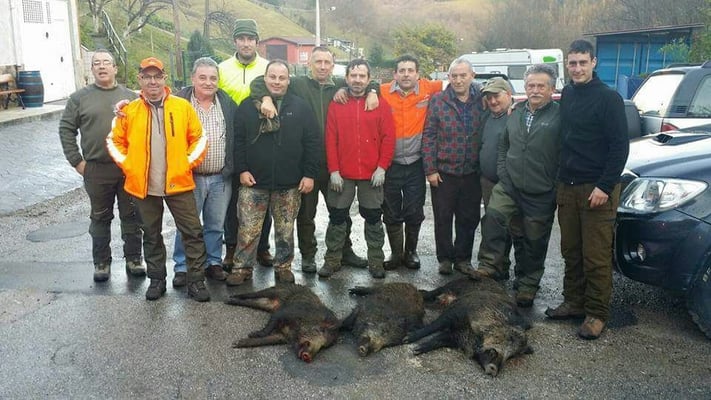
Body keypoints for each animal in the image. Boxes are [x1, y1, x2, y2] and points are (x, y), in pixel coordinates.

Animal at [404, 289, 532, 377]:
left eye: (511, 356)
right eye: (504, 337)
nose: (494, 370)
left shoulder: (455, 337)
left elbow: (437, 340)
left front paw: (416, 350)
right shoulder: (454, 312)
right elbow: (433, 326)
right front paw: (406, 340)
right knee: (437, 290)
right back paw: (421, 292)